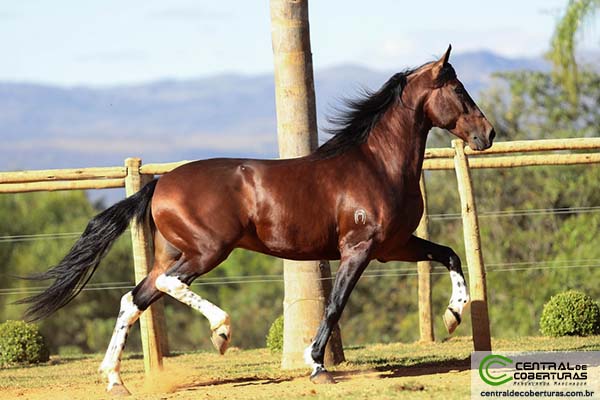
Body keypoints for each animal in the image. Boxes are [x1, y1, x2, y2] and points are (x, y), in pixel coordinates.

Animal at [18, 46, 494, 394]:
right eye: (459, 90)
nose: (487, 135)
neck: (376, 164)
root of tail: (160, 184)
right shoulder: (358, 249)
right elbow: (336, 304)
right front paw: (317, 365)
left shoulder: (394, 246)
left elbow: (450, 254)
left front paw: (453, 316)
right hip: (207, 251)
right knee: (168, 286)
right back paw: (221, 332)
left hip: (173, 254)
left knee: (133, 299)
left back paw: (116, 379)